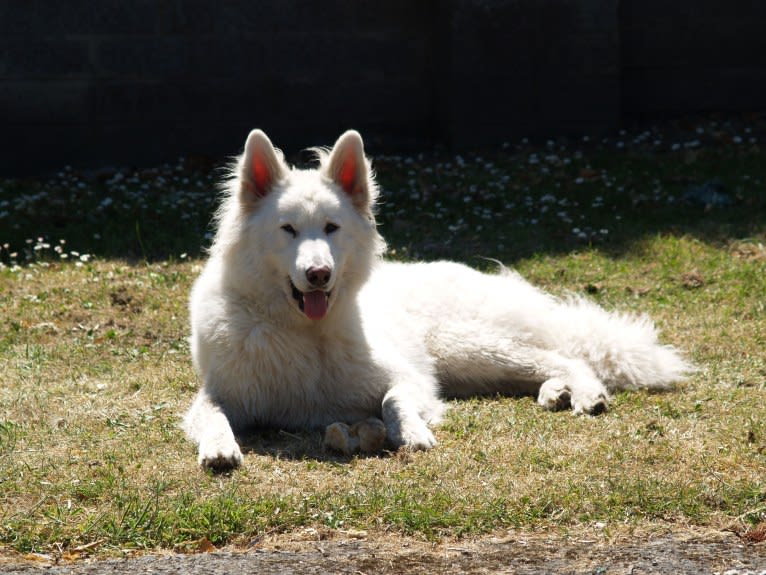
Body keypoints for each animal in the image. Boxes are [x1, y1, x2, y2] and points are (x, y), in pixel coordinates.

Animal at [183, 129, 692, 468]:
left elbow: (393, 400)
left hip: (465, 349)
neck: (305, 333)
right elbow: (212, 415)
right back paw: (555, 392)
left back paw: (584, 392)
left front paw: (411, 431)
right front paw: (220, 446)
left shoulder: (411, 380)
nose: (318, 274)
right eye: (287, 230)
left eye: (331, 228)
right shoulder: (219, 395)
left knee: (566, 356)